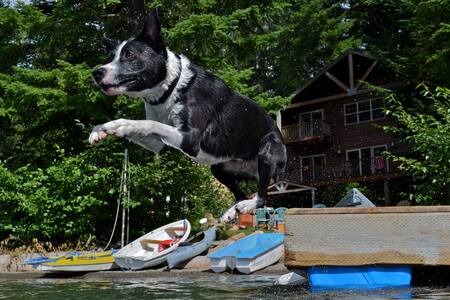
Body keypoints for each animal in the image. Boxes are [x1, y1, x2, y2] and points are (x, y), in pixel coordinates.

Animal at [91, 10, 286, 221]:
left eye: (129, 55)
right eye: (111, 57)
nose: (96, 72)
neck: (171, 88)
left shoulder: (189, 139)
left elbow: (148, 123)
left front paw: (120, 124)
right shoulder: (159, 146)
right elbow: (147, 128)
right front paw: (101, 129)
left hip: (267, 152)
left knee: (262, 196)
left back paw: (245, 206)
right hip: (219, 169)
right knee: (242, 194)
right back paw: (232, 212)